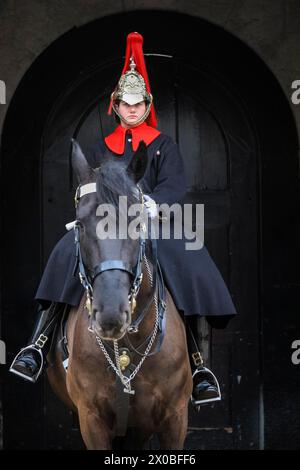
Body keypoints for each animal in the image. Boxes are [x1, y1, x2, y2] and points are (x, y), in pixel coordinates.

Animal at [47, 140, 192, 452]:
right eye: (79, 225)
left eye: (138, 222)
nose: (111, 315)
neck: (128, 346)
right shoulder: (91, 419)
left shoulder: (175, 418)